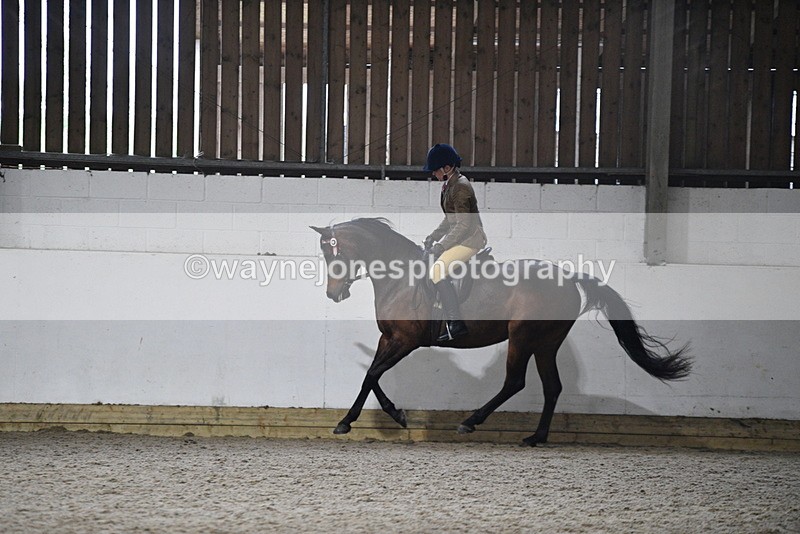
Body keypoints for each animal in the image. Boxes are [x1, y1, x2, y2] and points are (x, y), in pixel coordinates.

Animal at [310, 218, 691, 446]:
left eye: (335, 255)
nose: (333, 295)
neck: (400, 277)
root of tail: (569, 278)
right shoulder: (389, 338)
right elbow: (370, 376)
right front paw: (353, 420)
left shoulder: (407, 341)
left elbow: (373, 373)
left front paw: (385, 417)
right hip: (546, 343)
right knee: (552, 386)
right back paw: (536, 437)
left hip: (521, 337)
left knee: (515, 382)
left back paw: (471, 422)